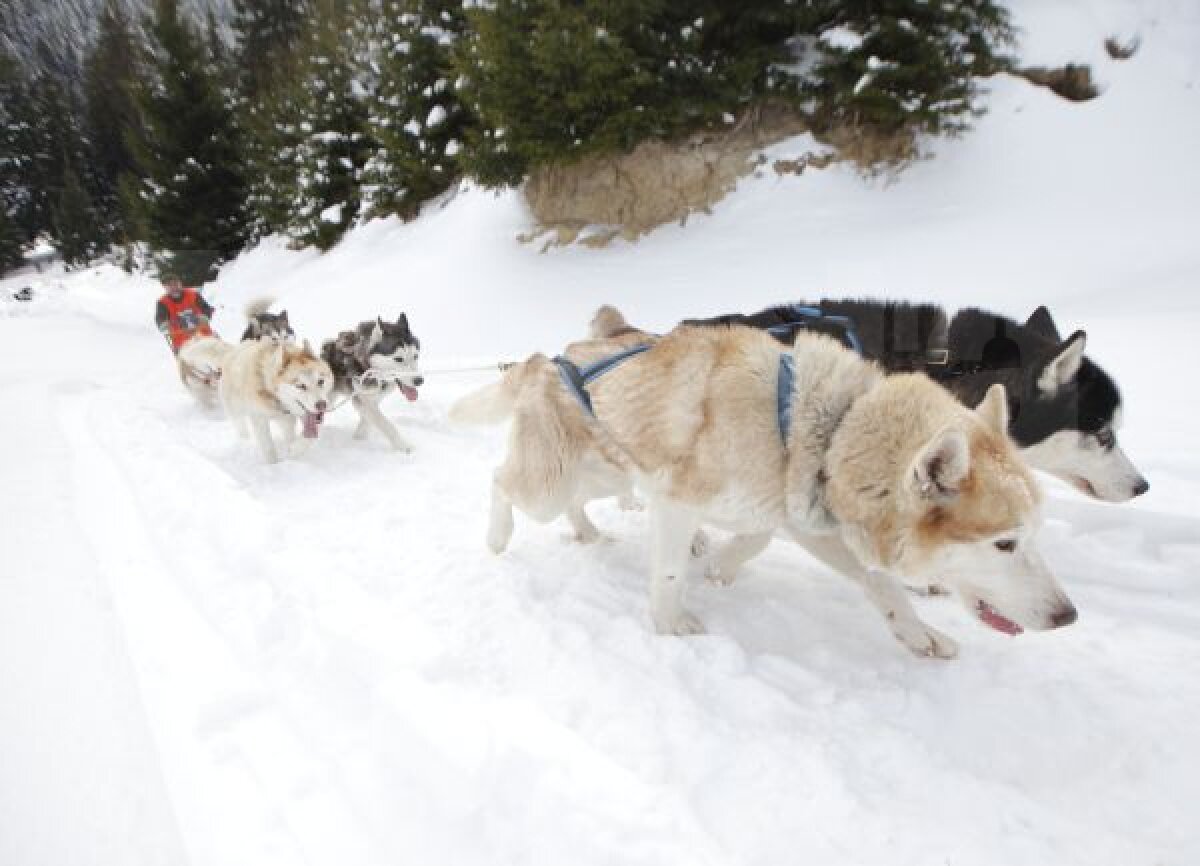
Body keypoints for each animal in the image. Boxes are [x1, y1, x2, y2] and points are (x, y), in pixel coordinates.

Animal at [321, 314, 424, 450]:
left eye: (416, 356)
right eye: (398, 359)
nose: (419, 380)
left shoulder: (372, 400)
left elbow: (366, 421)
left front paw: (359, 438)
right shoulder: (365, 400)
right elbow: (386, 424)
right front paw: (404, 446)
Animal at [451, 323, 1080, 652]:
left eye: (1038, 533)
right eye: (1005, 543)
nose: (1068, 616)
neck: (828, 428)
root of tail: (547, 358)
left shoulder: (809, 521)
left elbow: (875, 582)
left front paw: (918, 633)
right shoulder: (679, 501)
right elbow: (671, 572)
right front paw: (670, 623)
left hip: (608, 472)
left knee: (577, 503)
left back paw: (588, 533)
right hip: (551, 483)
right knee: (500, 481)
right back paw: (497, 537)